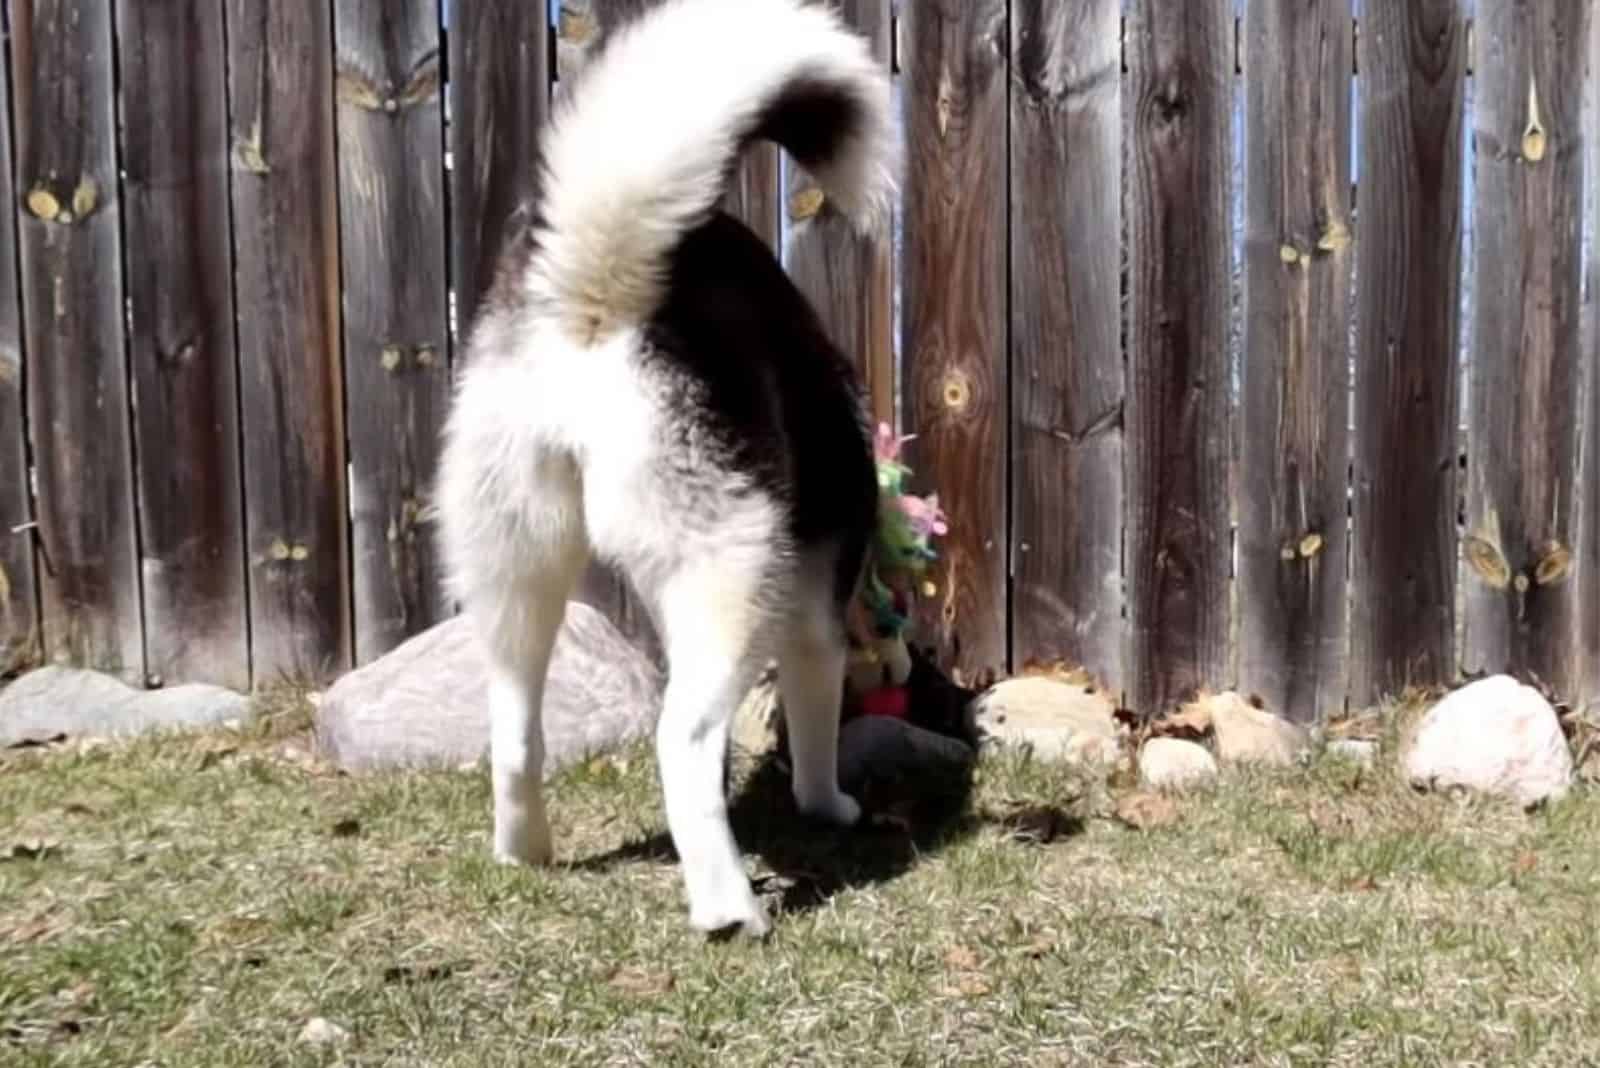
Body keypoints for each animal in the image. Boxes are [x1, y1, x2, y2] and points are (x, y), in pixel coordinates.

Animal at [432, 0, 902, 933]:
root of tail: (598, 308)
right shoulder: (815, 603)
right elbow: (817, 706)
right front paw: (827, 804)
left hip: (512, 564)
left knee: (515, 731)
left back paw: (524, 848)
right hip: (732, 565)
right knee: (680, 740)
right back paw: (728, 908)